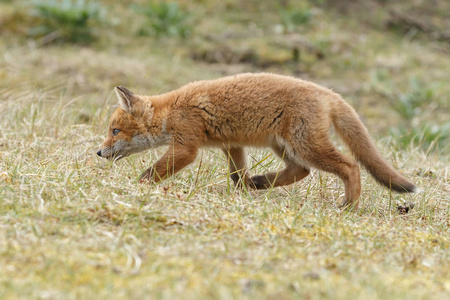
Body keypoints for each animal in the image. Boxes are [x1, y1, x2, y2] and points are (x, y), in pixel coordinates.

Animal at [96, 74, 416, 207]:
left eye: (115, 131)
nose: (98, 152)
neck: (171, 111)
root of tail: (330, 93)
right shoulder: (231, 145)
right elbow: (237, 175)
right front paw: (243, 190)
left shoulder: (187, 147)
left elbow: (151, 172)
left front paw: (136, 186)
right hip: (284, 146)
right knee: (300, 171)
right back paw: (260, 183)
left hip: (306, 146)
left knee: (350, 166)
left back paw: (349, 205)